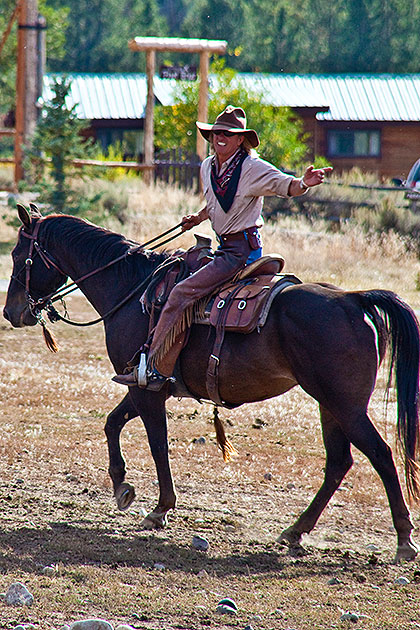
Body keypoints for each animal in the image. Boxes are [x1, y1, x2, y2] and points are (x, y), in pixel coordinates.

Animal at [3, 206, 420, 564]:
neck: (133, 290)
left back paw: (403, 540)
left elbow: (157, 444)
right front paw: (122, 487)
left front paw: (160, 509)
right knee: (338, 462)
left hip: (345, 406)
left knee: (380, 454)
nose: (12, 312)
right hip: (328, 405)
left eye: (18, 254)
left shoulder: (146, 388)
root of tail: (353, 299)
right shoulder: (143, 384)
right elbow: (112, 423)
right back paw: (295, 532)